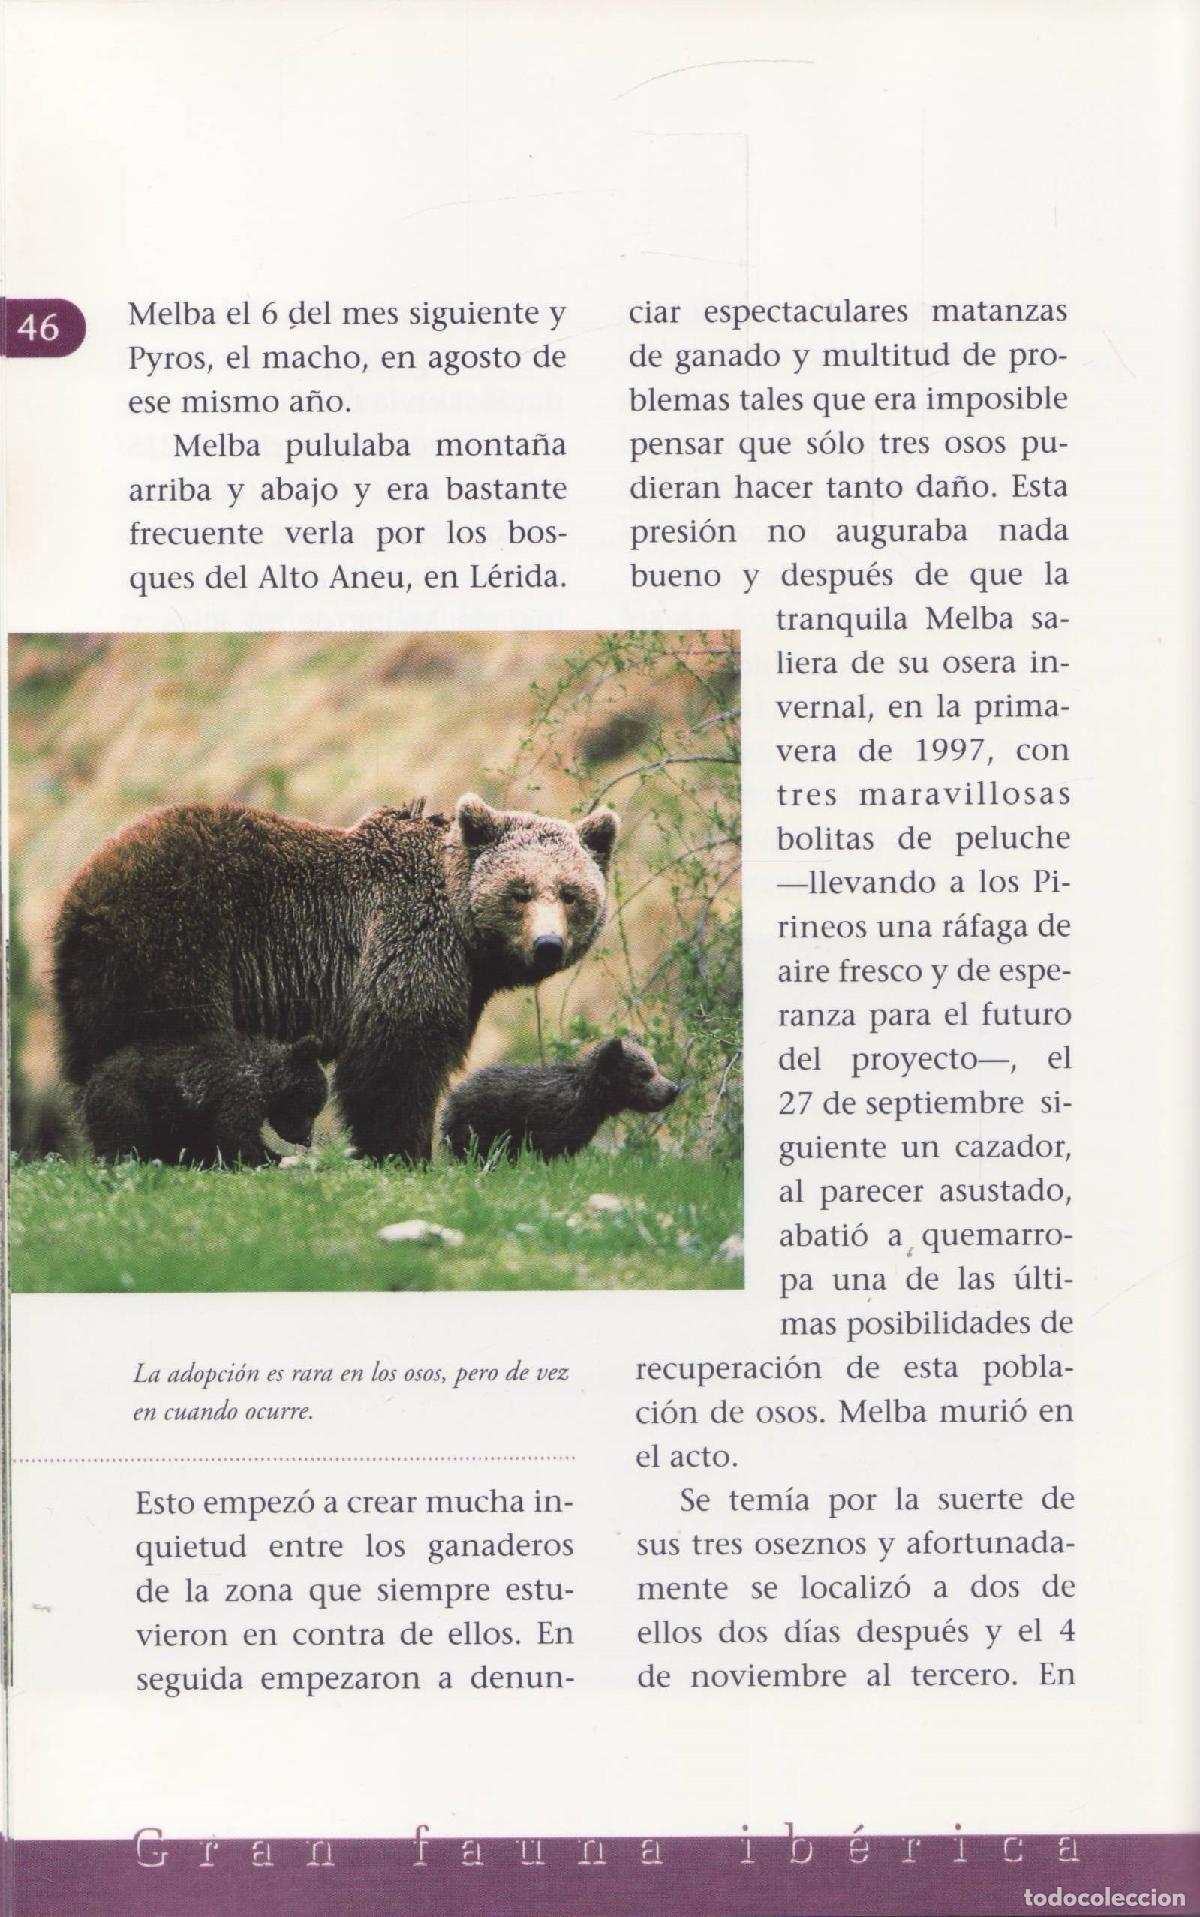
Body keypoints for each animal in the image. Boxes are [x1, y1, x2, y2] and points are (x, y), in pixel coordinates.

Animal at [79, 1033, 328, 1166]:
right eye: (310, 1106)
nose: (307, 1139)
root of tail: (92, 1079)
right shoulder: (240, 1093)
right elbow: (234, 1133)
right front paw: (273, 1159)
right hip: (127, 1104)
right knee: (121, 1141)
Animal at [439, 1035, 679, 1161]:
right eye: (645, 1074)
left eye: (656, 1068)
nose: (673, 1089)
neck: (590, 1102)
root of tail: (451, 1097)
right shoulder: (554, 1125)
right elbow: (550, 1151)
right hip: (479, 1124)